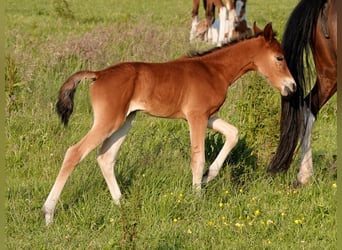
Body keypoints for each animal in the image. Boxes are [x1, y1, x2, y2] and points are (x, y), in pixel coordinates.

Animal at [41, 23, 296, 226]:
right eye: (279, 58)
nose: (291, 86)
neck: (213, 70)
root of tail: (99, 74)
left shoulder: (208, 116)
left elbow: (233, 133)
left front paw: (209, 177)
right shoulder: (196, 116)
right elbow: (197, 158)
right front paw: (197, 198)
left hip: (125, 121)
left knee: (105, 158)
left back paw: (121, 204)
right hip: (108, 121)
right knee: (74, 153)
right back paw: (48, 213)